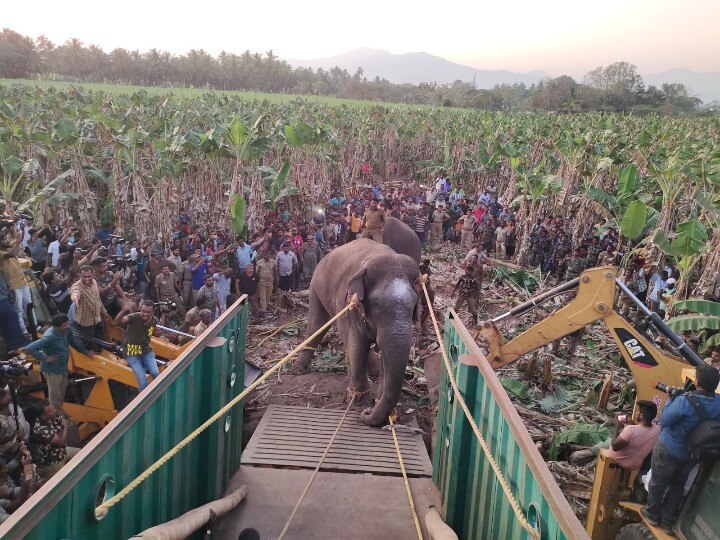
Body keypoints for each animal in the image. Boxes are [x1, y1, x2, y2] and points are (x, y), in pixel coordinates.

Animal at [292, 239, 420, 426]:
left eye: (414, 304)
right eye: (377, 303)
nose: (368, 412)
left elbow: (383, 353)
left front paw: (375, 400)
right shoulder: (348, 303)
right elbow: (357, 346)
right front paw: (361, 403)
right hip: (316, 286)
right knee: (317, 325)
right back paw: (298, 370)